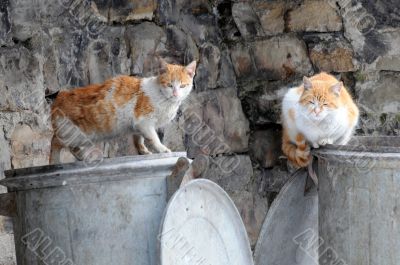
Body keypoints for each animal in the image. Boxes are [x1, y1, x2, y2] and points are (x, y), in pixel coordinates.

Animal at [50, 59, 197, 163]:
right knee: (55, 141)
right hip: (72, 132)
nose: (175, 94)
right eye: (170, 85)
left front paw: (143, 151)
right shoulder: (144, 122)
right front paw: (162, 149)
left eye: (183, 86)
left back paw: (84, 157)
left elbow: (139, 139)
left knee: (72, 147)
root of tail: (59, 96)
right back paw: (54, 161)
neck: (163, 98)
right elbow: (153, 138)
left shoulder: (138, 126)